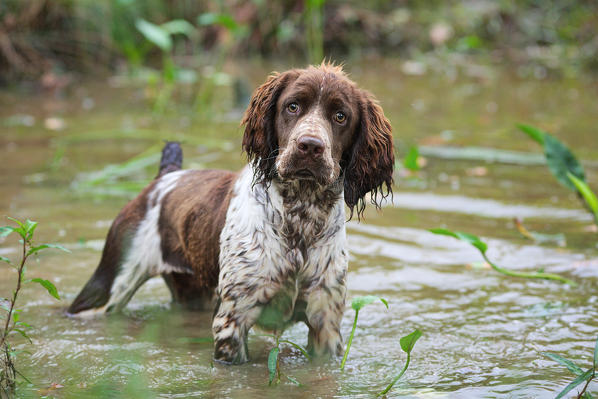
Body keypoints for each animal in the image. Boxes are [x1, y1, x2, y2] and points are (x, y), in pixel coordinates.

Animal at [68, 63, 396, 366]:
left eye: (340, 116)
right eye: (292, 106)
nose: (310, 146)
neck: (299, 218)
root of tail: (165, 176)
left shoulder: (325, 323)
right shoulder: (232, 321)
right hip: (107, 286)